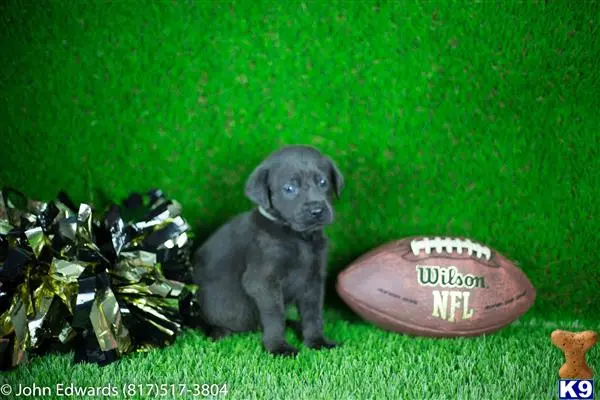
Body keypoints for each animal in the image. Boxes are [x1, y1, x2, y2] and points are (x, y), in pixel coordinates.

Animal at [192, 145, 342, 356]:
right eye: (289, 188)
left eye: (323, 182)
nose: (317, 211)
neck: (298, 237)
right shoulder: (262, 281)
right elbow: (275, 316)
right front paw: (277, 347)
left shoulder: (313, 280)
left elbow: (313, 315)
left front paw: (317, 341)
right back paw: (219, 331)